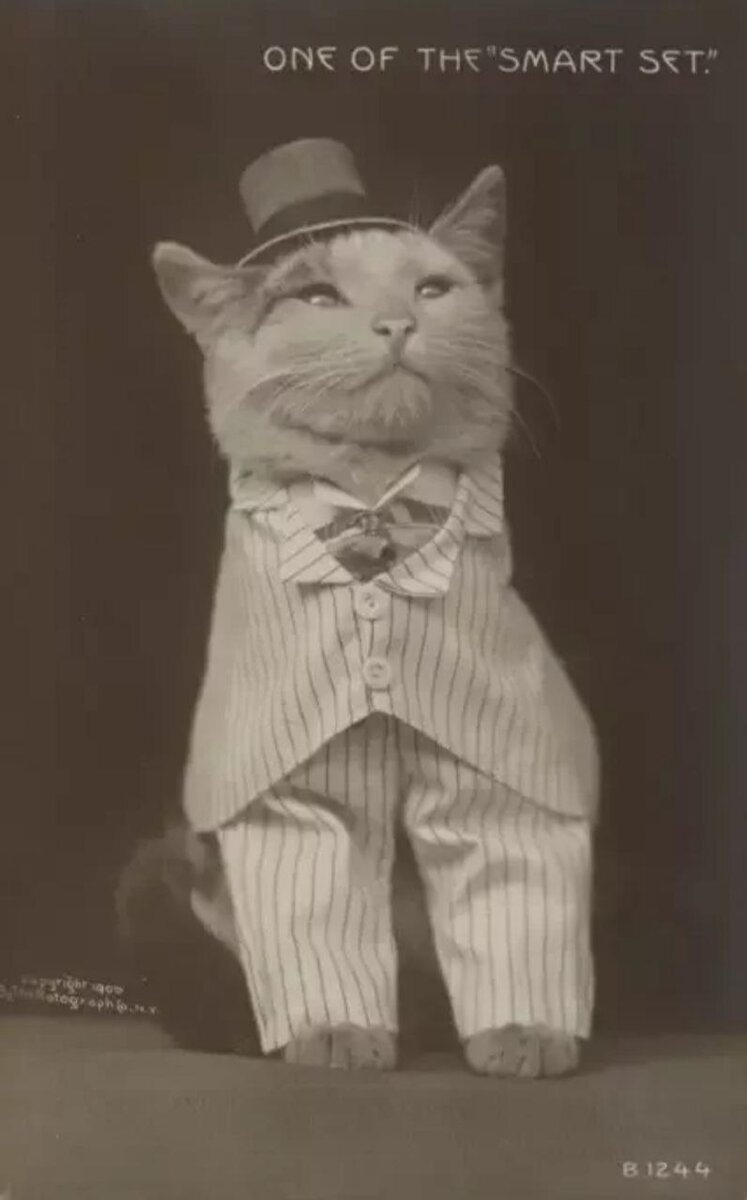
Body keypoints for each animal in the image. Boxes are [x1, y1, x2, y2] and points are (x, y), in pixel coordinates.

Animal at [119, 162, 597, 1077]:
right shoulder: (292, 790)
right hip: (170, 870)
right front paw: (335, 1032)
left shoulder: (502, 765)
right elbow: (312, 914)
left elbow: (514, 897)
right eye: (315, 296)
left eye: (432, 288)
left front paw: (524, 1033)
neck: (375, 504)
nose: (397, 323)